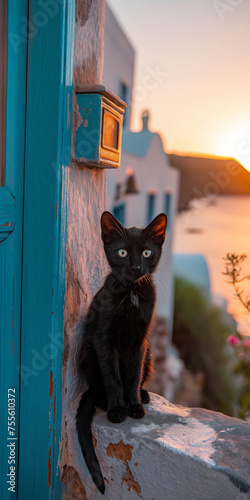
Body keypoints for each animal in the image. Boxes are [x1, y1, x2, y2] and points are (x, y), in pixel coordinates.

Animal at [75, 210, 167, 492]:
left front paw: (134, 404)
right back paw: (106, 401)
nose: (136, 267)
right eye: (123, 252)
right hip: (87, 353)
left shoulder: (140, 342)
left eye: (147, 252)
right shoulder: (103, 339)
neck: (132, 292)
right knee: (98, 388)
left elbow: (133, 375)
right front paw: (118, 409)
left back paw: (143, 395)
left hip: (149, 353)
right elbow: (114, 377)